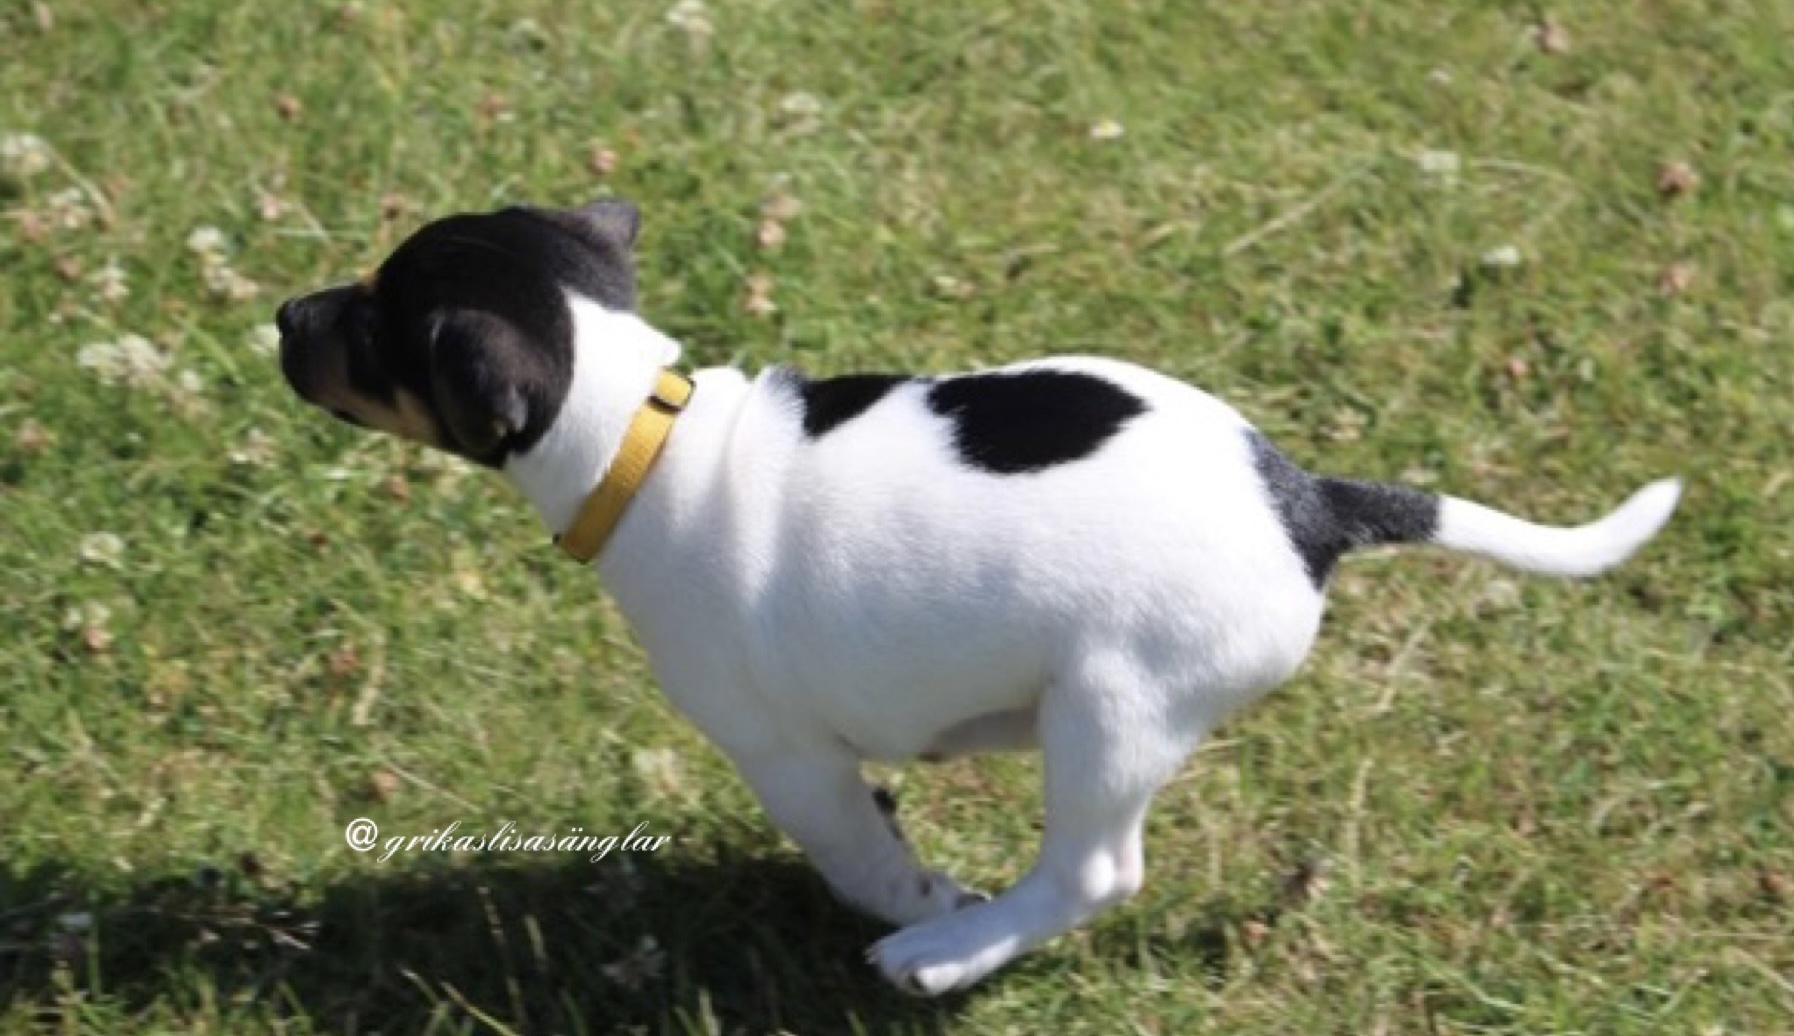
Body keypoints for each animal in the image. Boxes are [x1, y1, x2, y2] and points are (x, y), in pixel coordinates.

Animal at [277, 199, 1682, 995]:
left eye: (374, 326)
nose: (285, 313)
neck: (643, 427)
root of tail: (1312, 506)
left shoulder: (787, 755)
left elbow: (861, 856)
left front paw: (925, 907)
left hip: (1111, 708)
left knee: (1094, 873)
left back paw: (948, 957)